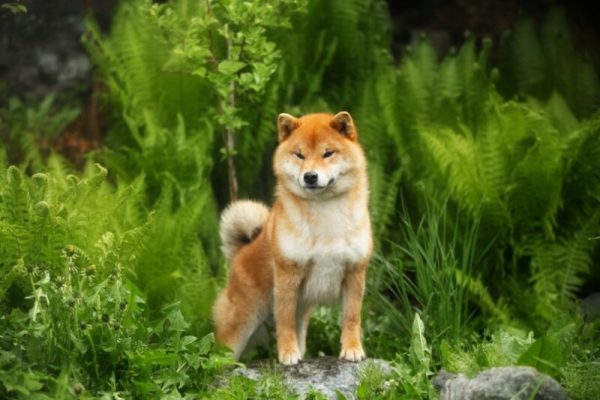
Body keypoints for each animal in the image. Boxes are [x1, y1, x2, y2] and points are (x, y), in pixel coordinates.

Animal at [211, 111, 370, 366]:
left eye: (328, 153)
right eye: (299, 154)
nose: (310, 176)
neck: (325, 214)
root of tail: (240, 253)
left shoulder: (354, 273)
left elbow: (352, 318)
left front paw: (352, 349)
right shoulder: (287, 275)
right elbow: (284, 321)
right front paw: (287, 353)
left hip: (300, 310)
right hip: (243, 321)